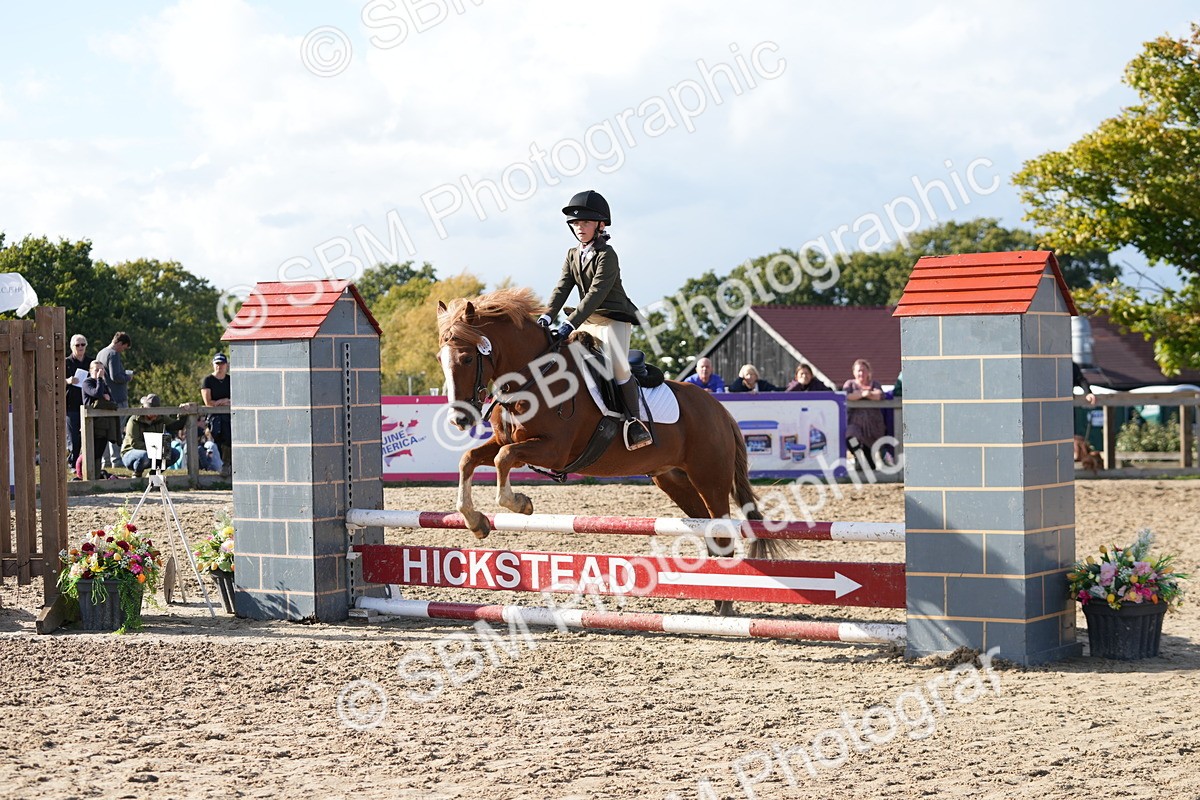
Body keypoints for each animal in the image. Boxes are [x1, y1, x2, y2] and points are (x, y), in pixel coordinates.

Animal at [436, 289, 784, 608]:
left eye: (467, 358)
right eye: (441, 359)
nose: (459, 419)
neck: (534, 377)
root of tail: (719, 409)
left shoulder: (553, 450)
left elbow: (502, 459)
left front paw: (520, 504)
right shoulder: (506, 439)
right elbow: (470, 459)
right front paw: (476, 521)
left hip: (710, 479)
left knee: (722, 532)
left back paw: (725, 604)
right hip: (674, 480)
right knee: (709, 530)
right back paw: (718, 596)